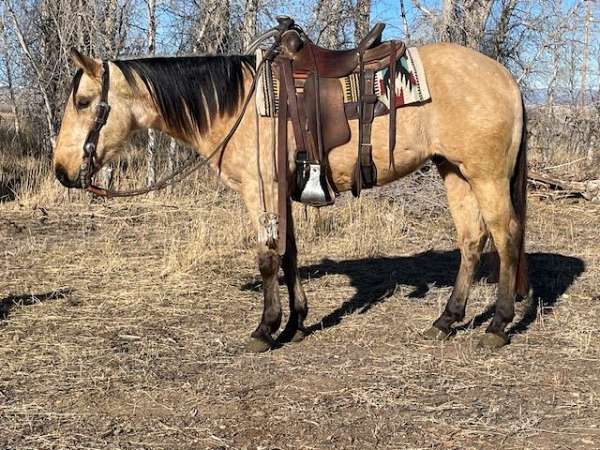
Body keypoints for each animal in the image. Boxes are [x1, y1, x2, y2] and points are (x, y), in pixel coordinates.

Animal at [54, 20, 528, 352]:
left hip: (485, 175)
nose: (61, 170)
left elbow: (267, 258)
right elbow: (290, 254)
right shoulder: (282, 190)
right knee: (472, 240)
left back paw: (497, 325)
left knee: (506, 237)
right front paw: (298, 322)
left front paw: (265, 330)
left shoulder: (259, 190)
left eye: (83, 102)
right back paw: (446, 320)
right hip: (455, 172)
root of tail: (506, 78)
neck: (237, 106)